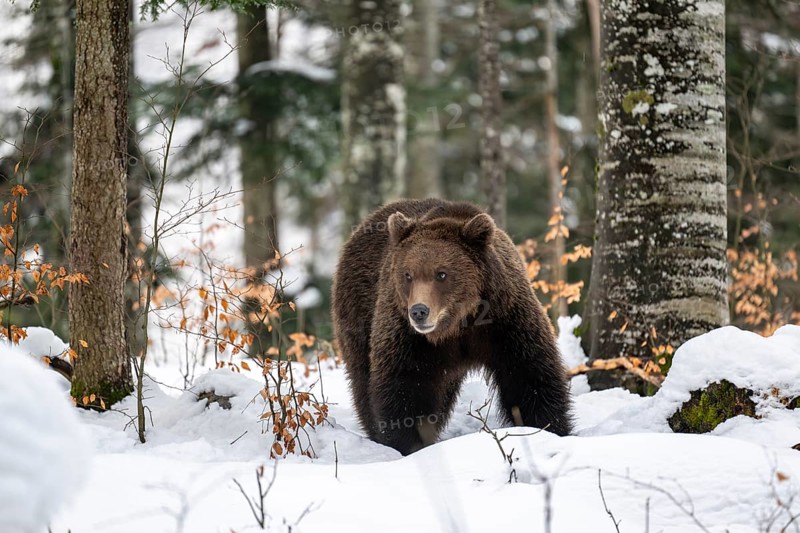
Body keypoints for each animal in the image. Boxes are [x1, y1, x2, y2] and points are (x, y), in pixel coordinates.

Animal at [332, 198, 573, 455]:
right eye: (408, 275)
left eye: (442, 274)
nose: (419, 311)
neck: (459, 324)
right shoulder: (407, 336)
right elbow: (405, 389)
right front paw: (407, 444)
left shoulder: (506, 320)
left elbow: (529, 374)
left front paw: (548, 428)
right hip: (358, 311)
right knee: (362, 378)